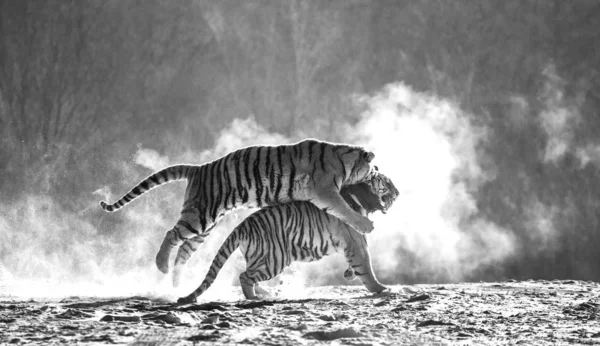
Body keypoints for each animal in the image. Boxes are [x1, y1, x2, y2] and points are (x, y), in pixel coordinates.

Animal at [99, 139, 380, 274]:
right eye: (374, 169)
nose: (379, 172)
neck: (344, 159)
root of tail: (198, 168)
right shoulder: (326, 191)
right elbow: (345, 209)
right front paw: (366, 225)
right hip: (199, 217)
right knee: (171, 234)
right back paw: (161, 266)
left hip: (204, 226)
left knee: (184, 251)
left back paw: (176, 281)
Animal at [176, 170, 398, 302]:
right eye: (387, 183)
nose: (398, 192)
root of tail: (243, 224)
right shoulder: (357, 241)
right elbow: (366, 267)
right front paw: (381, 288)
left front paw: (350, 274)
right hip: (274, 259)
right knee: (245, 276)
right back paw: (254, 298)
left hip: (260, 257)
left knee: (249, 275)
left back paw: (264, 293)